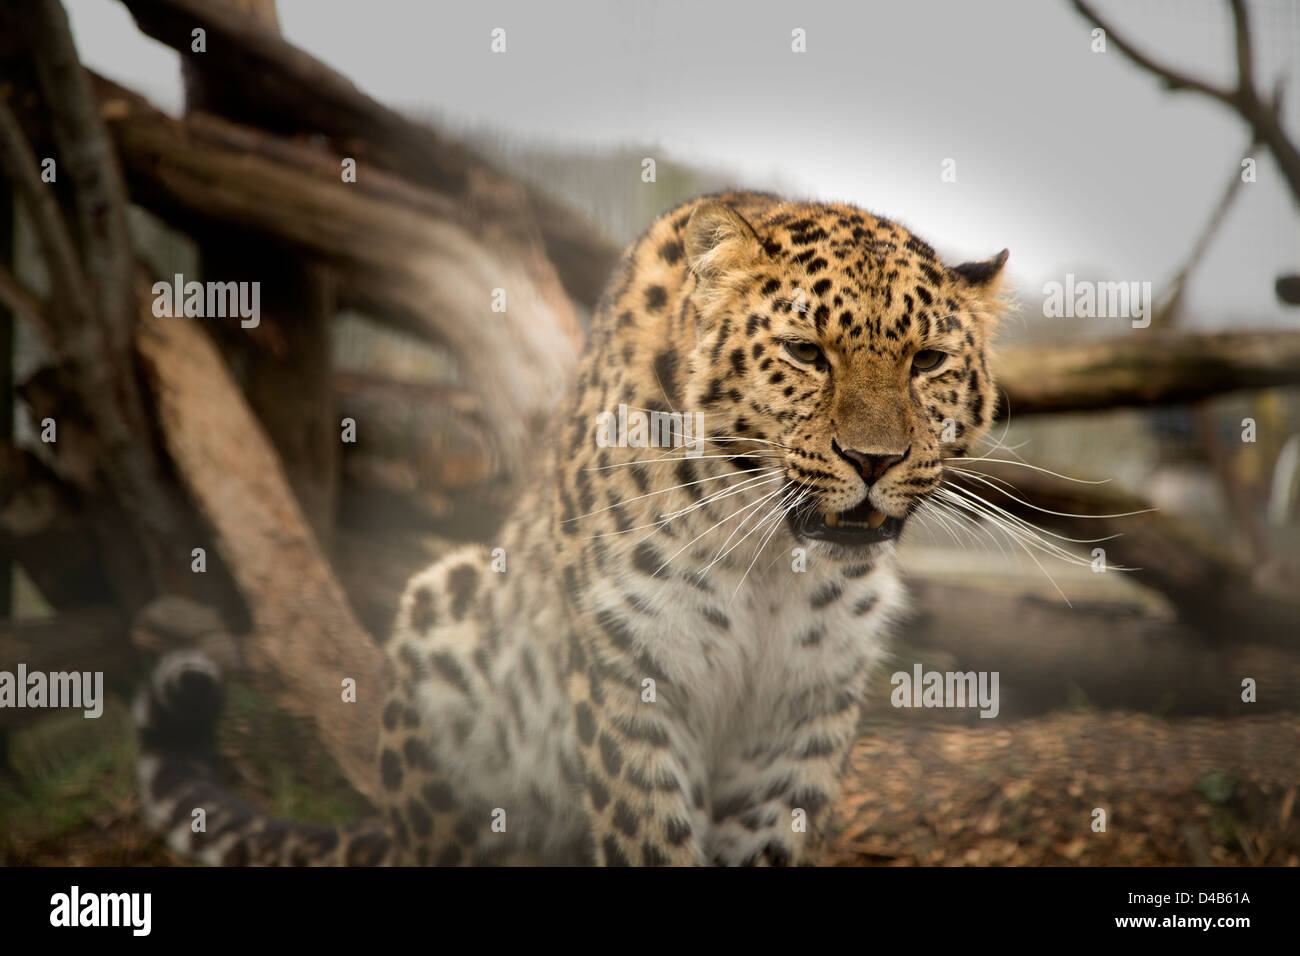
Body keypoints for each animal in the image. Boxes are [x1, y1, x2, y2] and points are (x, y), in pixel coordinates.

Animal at [136, 189, 1010, 866]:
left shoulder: (804, 716)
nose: (874, 459)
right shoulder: (631, 683)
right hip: (443, 618)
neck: (773, 558)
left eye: (929, 361)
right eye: (805, 352)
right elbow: (650, 838)